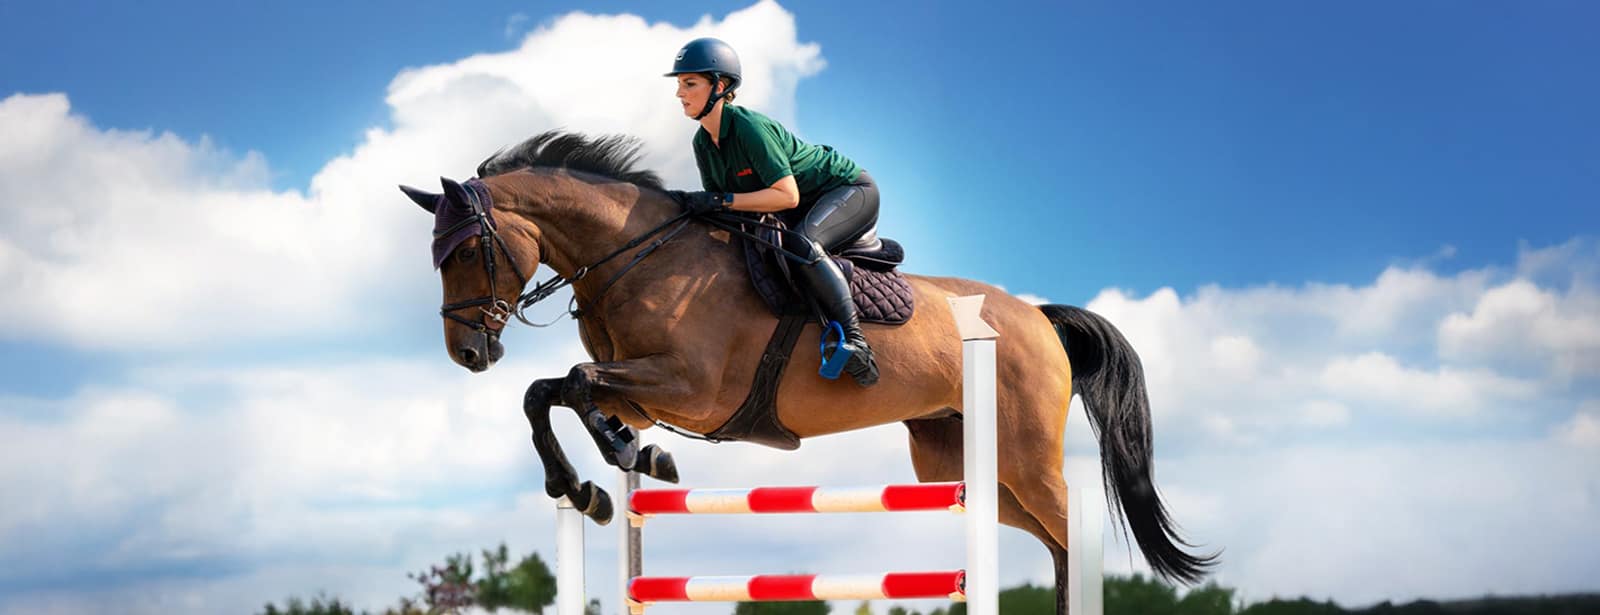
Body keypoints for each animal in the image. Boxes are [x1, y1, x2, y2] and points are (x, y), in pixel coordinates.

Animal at [400, 131, 1217, 614]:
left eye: (466, 251)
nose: (468, 353)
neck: (638, 257)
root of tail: (1038, 318)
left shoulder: (692, 390)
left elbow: (568, 381)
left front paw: (603, 474)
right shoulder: (640, 386)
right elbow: (555, 393)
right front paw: (608, 478)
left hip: (1021, 456)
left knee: (1073, 530)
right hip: (959, 467)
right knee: (1053, 542)